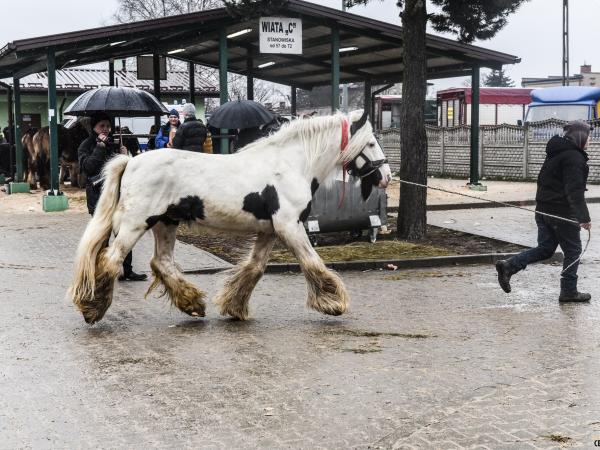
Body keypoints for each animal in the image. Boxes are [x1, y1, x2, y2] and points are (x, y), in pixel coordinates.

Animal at [68, 110, 392, 326]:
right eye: (371, 143)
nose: (387, 177)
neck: (291, 164)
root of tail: (131, 160)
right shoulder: (290, 226)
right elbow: (312, 262)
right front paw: (332, 303)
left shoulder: (270, 231)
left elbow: (255, 268)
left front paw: (234, 306)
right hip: (137, 223)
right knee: (112, 260)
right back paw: (92, 308)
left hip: (166, 223)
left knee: (162, 262)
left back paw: (193, 304)